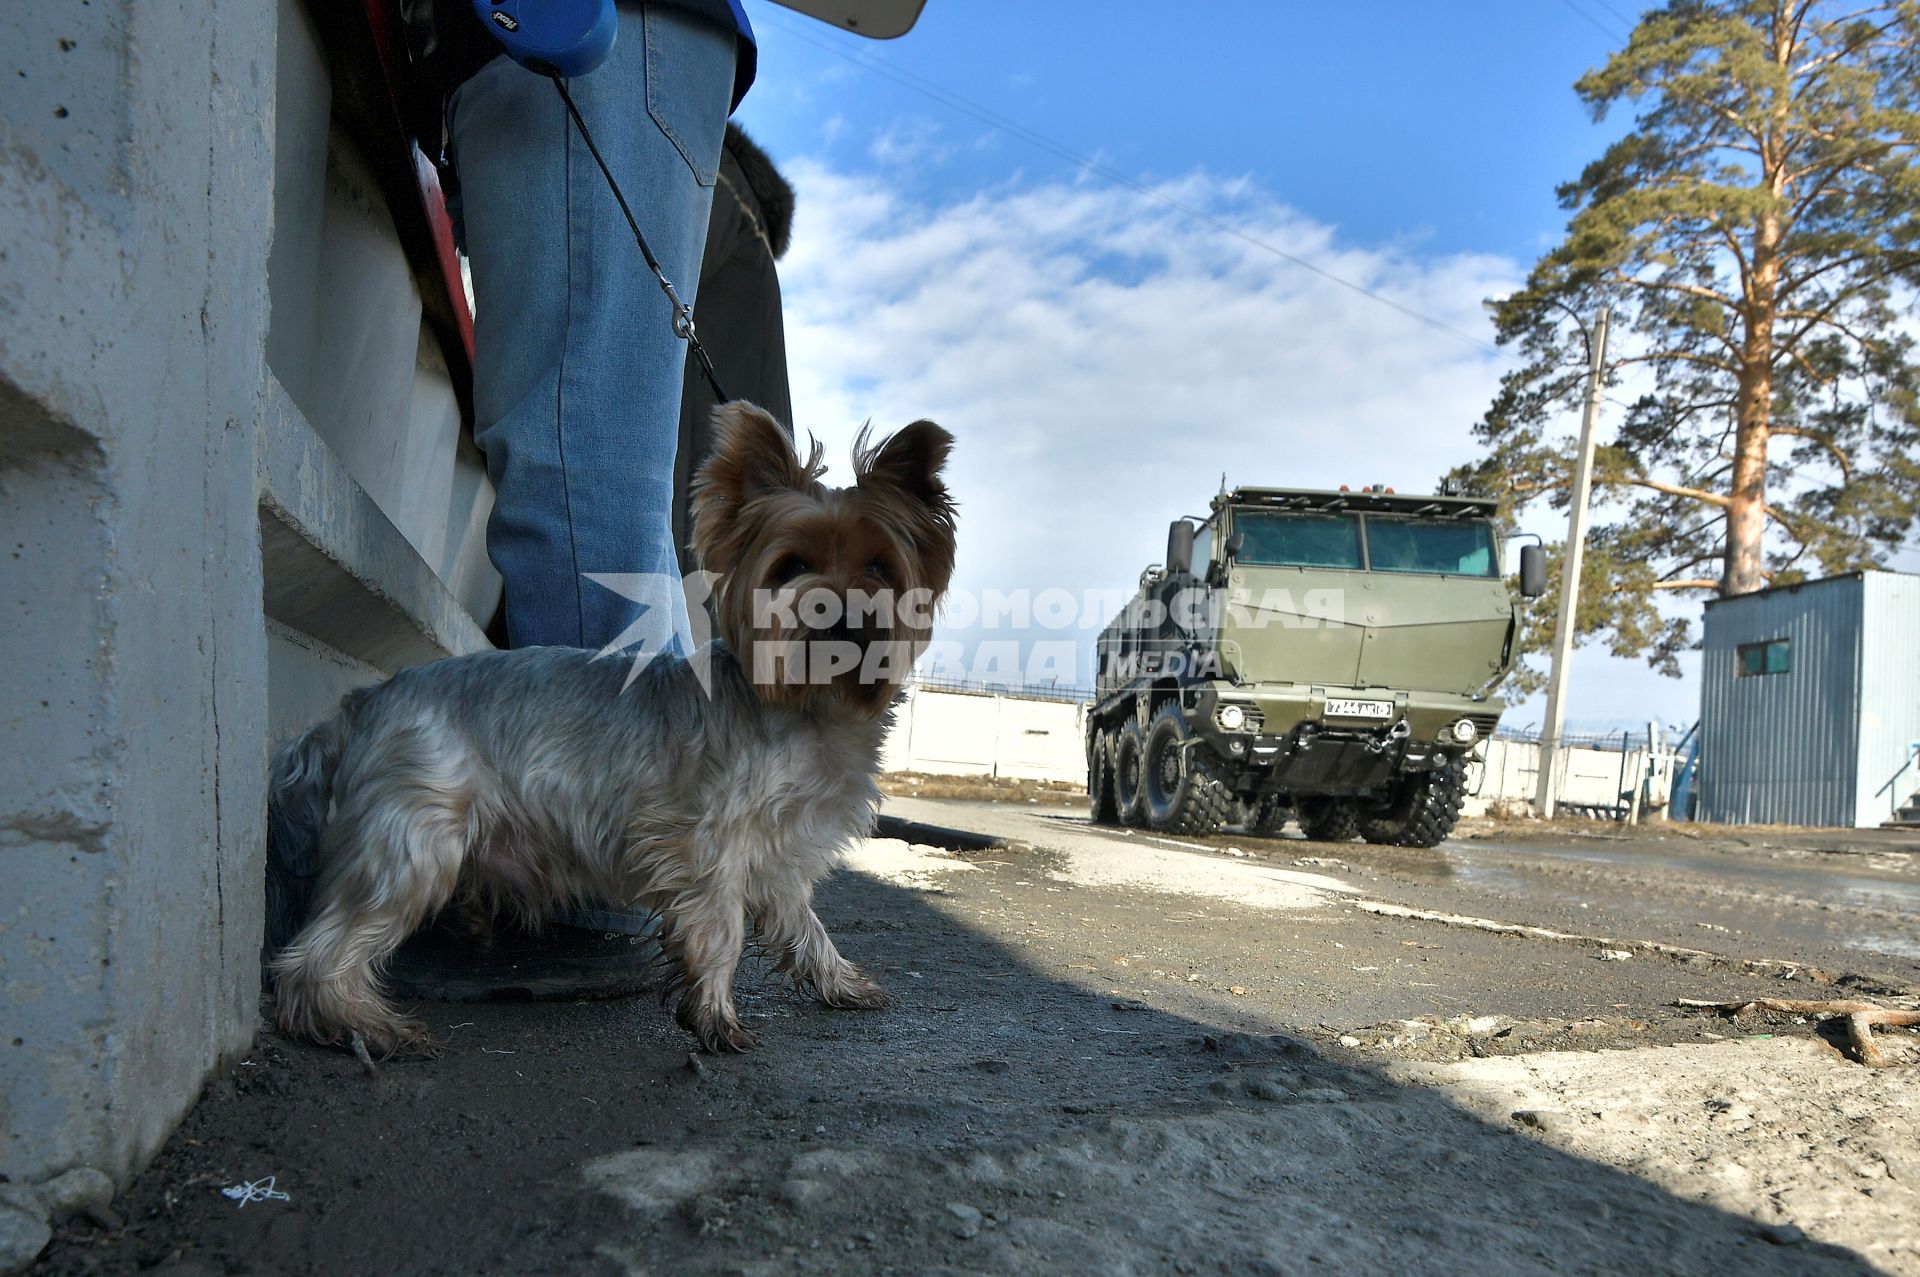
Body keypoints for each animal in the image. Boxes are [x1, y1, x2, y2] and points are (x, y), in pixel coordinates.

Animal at [266, 403, 956, 1052]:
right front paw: (715, 1017)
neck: (810, 705)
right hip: (415, 835)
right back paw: (359, 1024)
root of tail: (365, 701)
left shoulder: (780, 854)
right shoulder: (708, 842)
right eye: (791, 566)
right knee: (321, 949)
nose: (839, 609)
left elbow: (805, 926)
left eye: (879, 567)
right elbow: (721, 929)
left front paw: (840, 982)